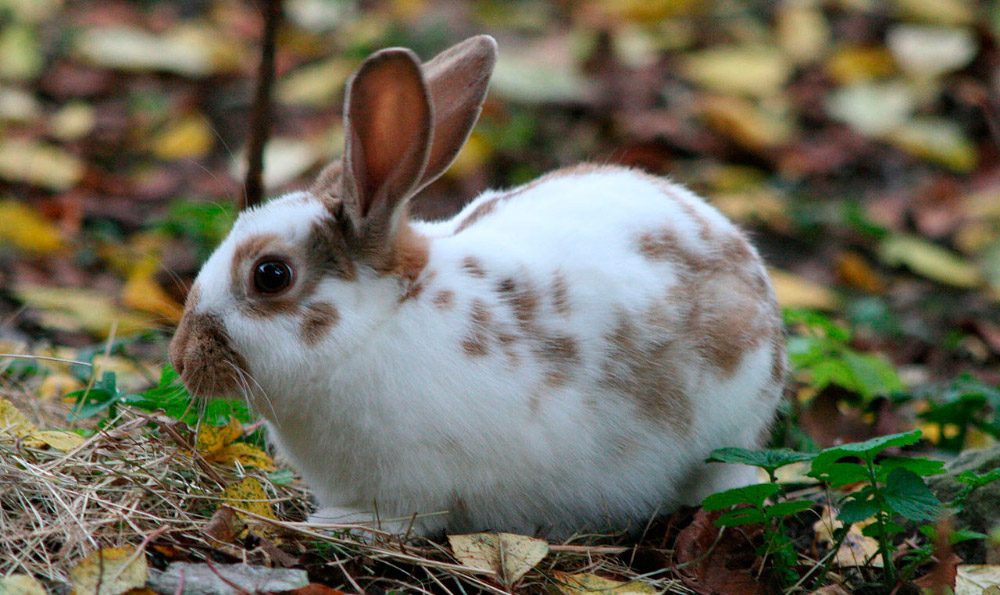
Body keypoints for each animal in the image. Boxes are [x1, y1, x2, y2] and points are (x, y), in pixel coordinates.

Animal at [168, 36, 784, 540]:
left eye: (270, 275)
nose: (181, 357)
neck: (377, 327)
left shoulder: (411, 489)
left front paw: (333, 523)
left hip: (724, 437)